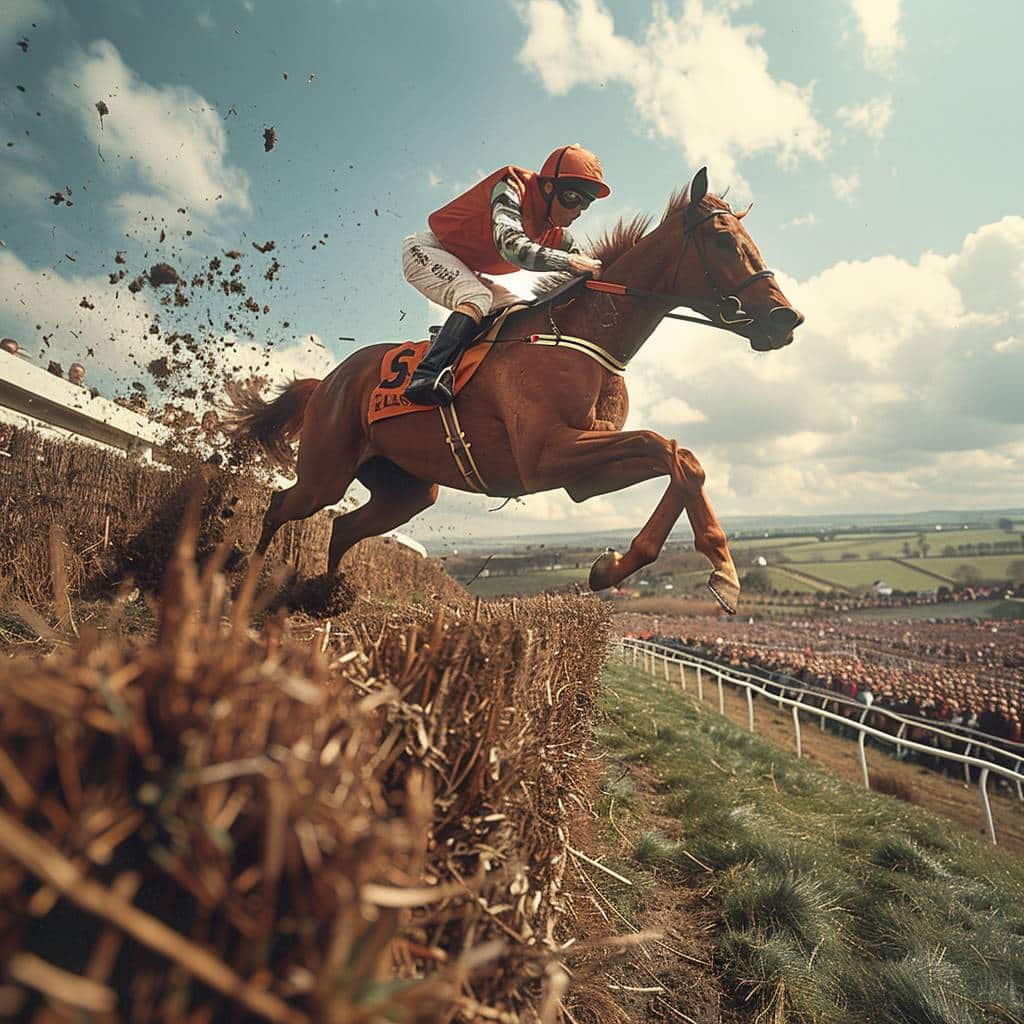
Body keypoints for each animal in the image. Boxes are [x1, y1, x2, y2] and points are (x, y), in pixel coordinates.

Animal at [224, 168, 798, 610]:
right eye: (723, 241)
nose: (786, 318)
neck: (582, 337)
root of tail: (327, 381)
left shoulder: (581, 476)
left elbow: (682, 461)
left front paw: (687, 569)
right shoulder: (546, 455)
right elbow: (665, 446)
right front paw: (705, 569)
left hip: (407, 489)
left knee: (343, 528)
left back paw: (327, 595)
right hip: (326, 472)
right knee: (280, 505)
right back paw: (245, 581)